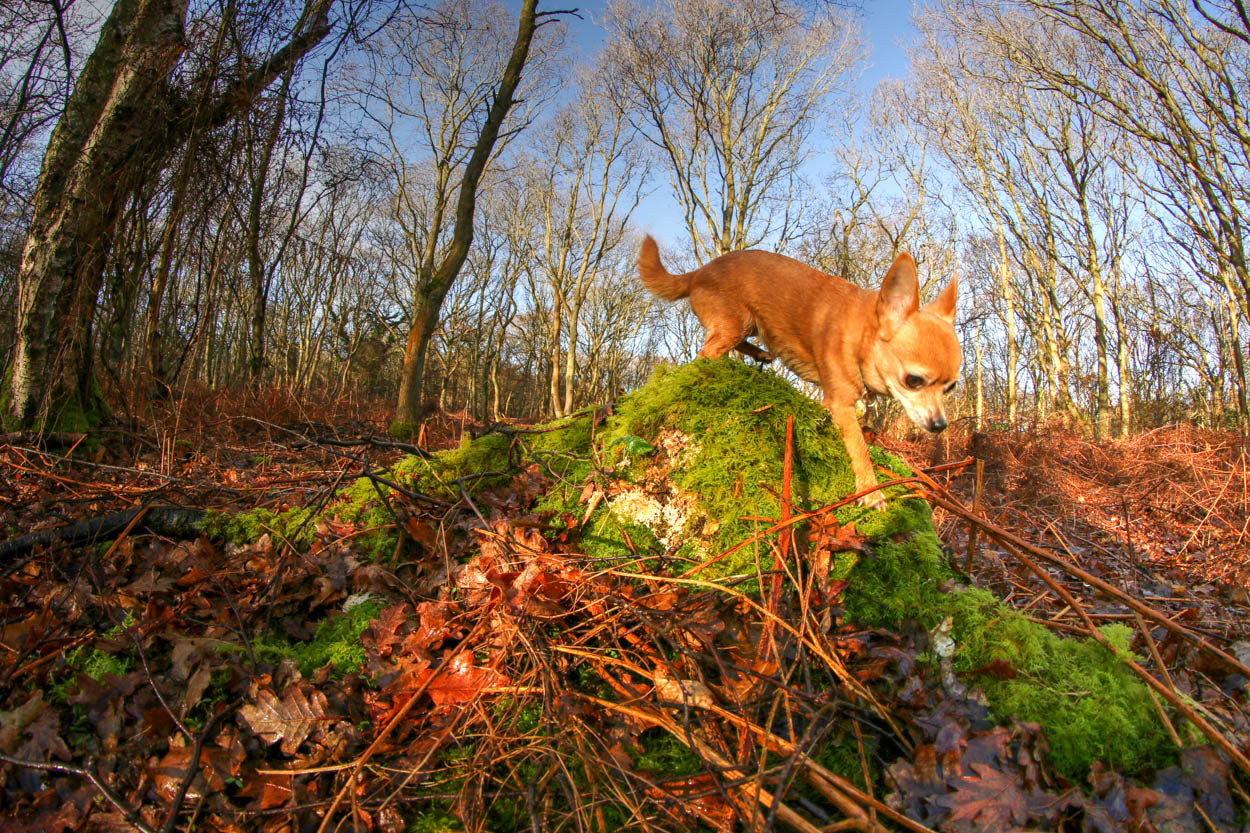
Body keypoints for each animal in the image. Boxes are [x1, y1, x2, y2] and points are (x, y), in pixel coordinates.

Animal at [640, 233, 960, 505]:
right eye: (914, 380)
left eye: (951, 387)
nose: (940, 425)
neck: (860, 334)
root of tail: (699, 272)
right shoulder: (841, 404)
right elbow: (859, 447)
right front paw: (871, 491)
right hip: (734, 323)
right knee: (706, 353)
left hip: (751, 325)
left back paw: (761, 353)